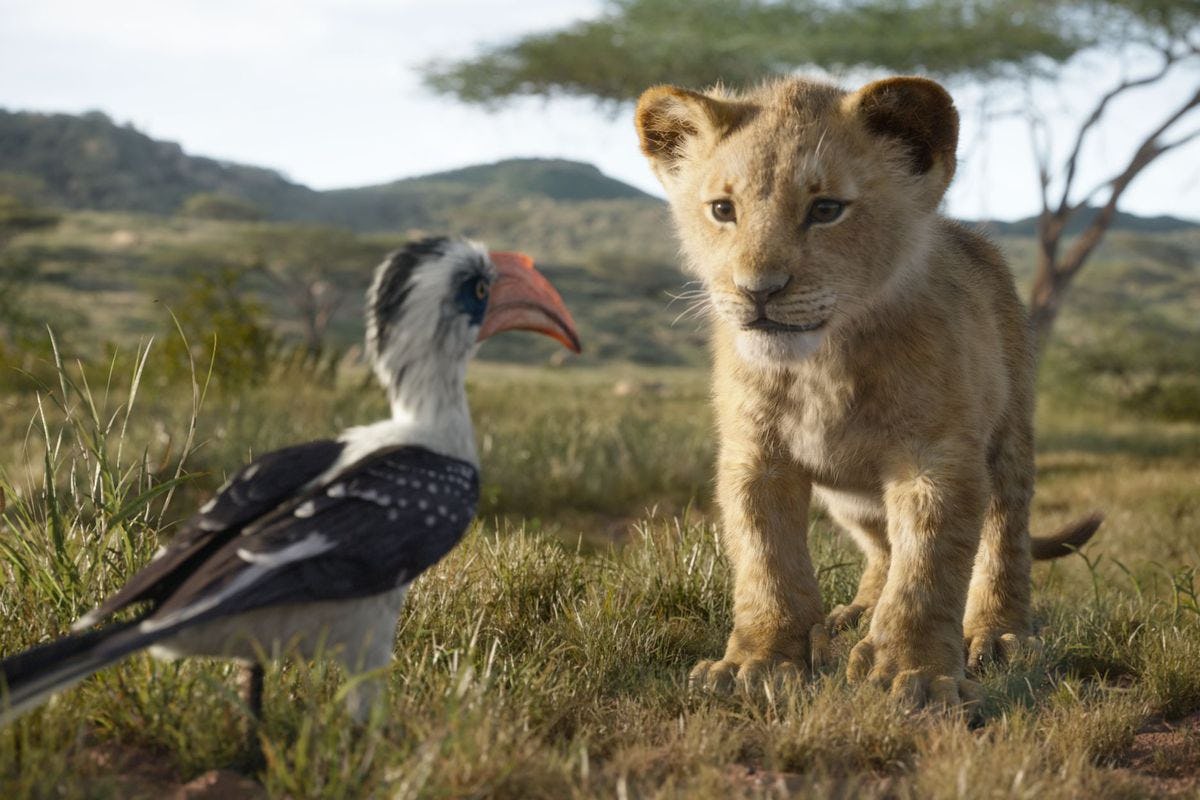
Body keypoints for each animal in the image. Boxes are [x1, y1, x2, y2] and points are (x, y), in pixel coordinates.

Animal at [634, 75, 1100, 708]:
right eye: (723, 210)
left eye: (826, 209)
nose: (758, 290)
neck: (822, 364)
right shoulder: (755, 457)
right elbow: (766, 561)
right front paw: (757, 662)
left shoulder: (935, 458)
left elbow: (928, 568)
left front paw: (916, 673)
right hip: (850, 497)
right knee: (882, 547)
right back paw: (853, 615)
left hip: (1009, 438)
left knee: (1005, 534)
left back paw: (998, 633)